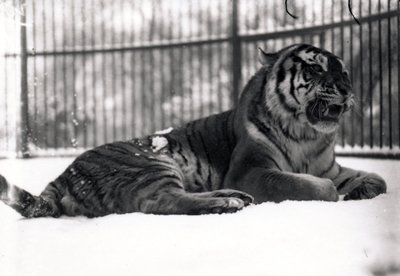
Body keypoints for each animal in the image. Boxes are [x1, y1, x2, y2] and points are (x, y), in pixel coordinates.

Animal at [0, 43, 388, 218]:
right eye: (316, 68)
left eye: (343, 70)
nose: (346, 88)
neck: (308, 136)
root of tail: (64, 174)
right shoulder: (252, 170)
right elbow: (306, 185)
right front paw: (334, 193)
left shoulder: (329, 166)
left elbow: (371, 178)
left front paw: (364, 188)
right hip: (149, 165)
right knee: (162, 202)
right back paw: (229, 201)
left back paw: (233, 198)